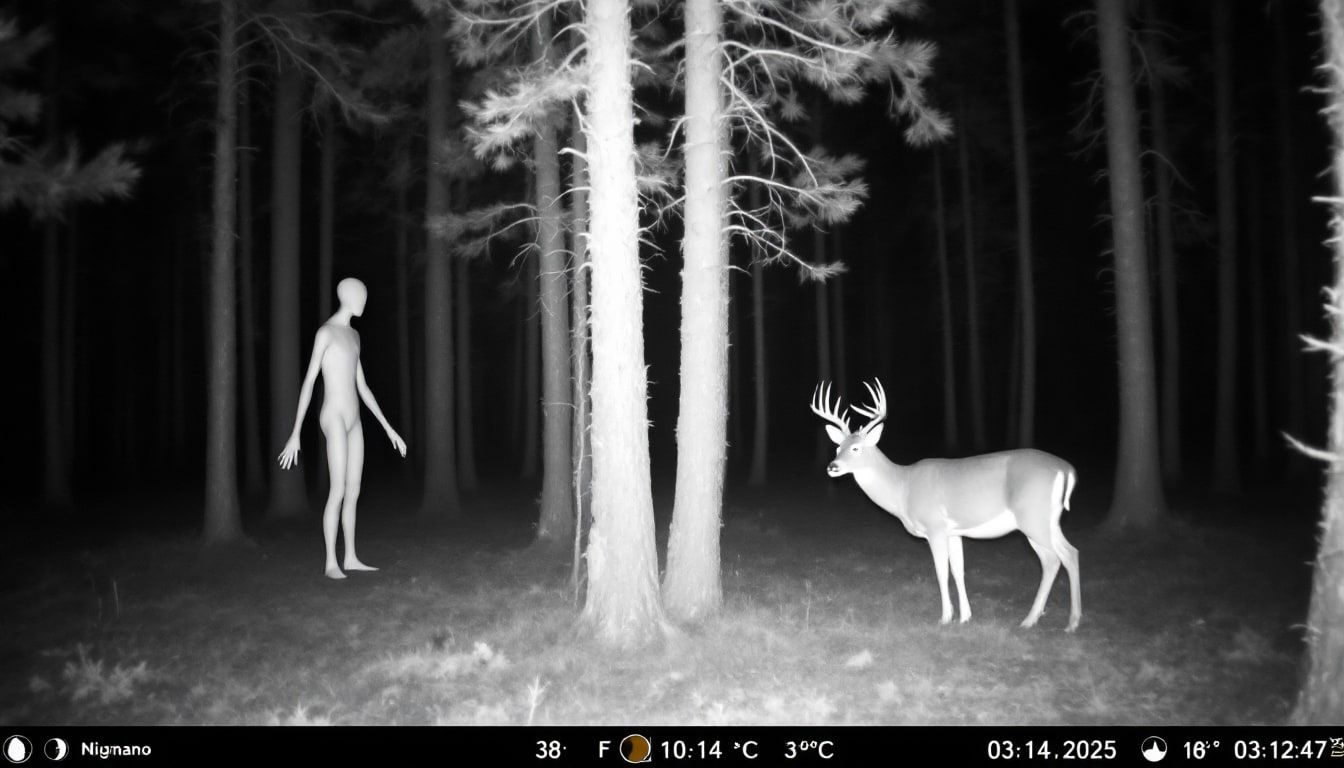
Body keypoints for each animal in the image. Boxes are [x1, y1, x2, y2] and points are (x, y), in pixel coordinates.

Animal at [810, 379, 1081, 632]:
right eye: (838, 447)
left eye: (856, 448)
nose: (832, 467)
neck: (902, 487)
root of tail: (1066, 468)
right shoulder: (954, 531)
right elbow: (958, 570)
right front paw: (965, 616)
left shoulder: (935, 527)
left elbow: (941, 570)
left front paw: (945, 617)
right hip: (1047, 521)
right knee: (1064, 556)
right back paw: (1044, 620)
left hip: (1032, 519)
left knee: (1060, 557)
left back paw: (1060, 622)